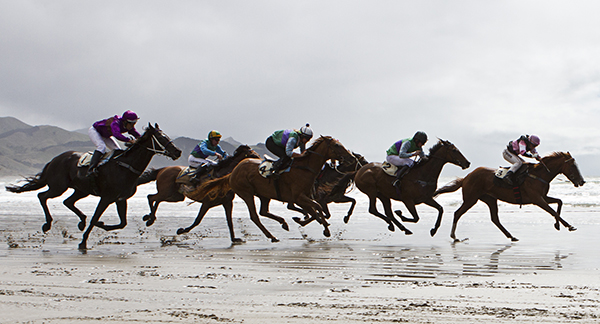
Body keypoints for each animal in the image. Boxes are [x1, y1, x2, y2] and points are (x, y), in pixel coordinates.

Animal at [5, 123, 182, 249]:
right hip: (58, 187)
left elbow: (121, 223)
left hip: (81, 190)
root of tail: (54, 159)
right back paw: (47, 224)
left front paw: (99, 225)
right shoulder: (106, 197)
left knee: (67, 201)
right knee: (42, 196)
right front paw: (83, 241)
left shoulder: (120, 199)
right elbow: (96, 217)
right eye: (161, 137)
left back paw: (81, 221)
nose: (178, 151)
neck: (125, 167)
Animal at [188, 135, 356, 242]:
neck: (305, 168)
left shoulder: (305, 197)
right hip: (246, 193)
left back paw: (283, 223)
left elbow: (315, 210)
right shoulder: (299, 197)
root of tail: (233, 172)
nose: (352, 157)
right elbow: (316, 209)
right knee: (255, 216)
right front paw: (325, 228)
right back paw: (272, 236)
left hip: (264, 194)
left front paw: (314, 223)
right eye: (336, 145)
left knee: (263, 211)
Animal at [434, 151, 584, 240]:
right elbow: (553, 211)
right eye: (573, 166)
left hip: (490, 199)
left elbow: (559, 202)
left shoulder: (543, 197)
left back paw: (511, 236)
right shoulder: (537, 199)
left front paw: (558, 225)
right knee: (457, 213)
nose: (582, 181)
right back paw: (453, 236)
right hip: (471, 198)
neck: (539, 174)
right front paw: (568, 226)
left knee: (495, 218)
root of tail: (466, 177)